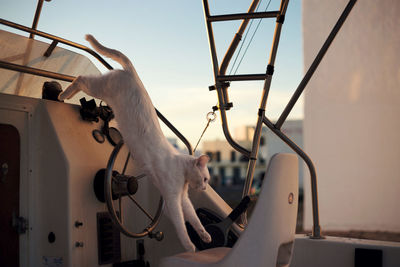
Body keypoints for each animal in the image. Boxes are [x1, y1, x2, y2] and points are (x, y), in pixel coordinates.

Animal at [59, 34, 212, 252]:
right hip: (98, 88)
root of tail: (133, 73)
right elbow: (182, 226)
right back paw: (63, 95)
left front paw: (205, 236)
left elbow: (195, 220)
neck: (181, 171)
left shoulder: (183, 200)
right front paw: (191, 248)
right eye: (206, 179)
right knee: (80, 79)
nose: (205, 188)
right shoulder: (172, 202)